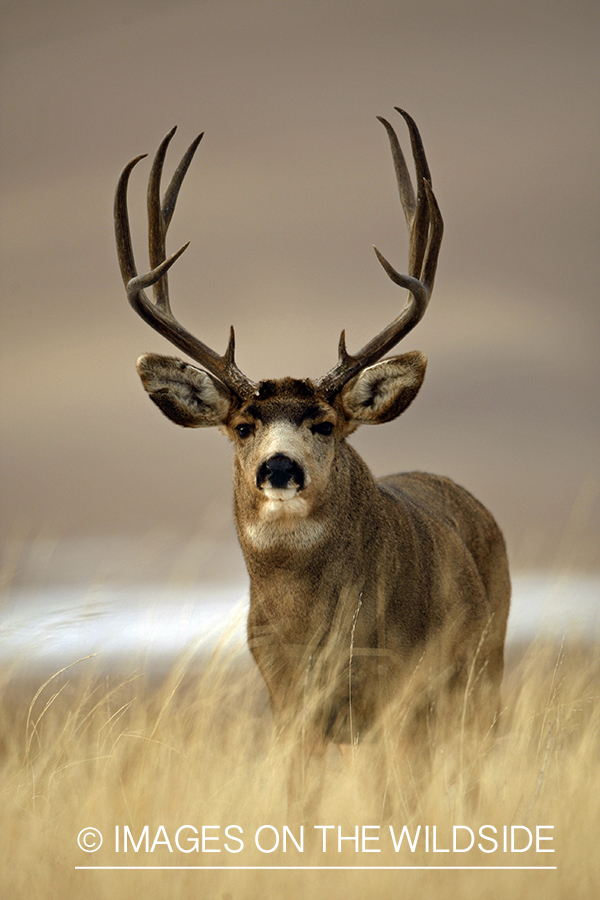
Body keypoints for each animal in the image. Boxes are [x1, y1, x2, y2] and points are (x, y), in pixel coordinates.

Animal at [114, 109, 511, 810]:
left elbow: (394, 802)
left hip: (479, 674)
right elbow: (297, 803)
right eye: (243, 425)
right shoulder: (287, 701)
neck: (311, 625)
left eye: (324, 424)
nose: (279, 468)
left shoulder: (399, 692)